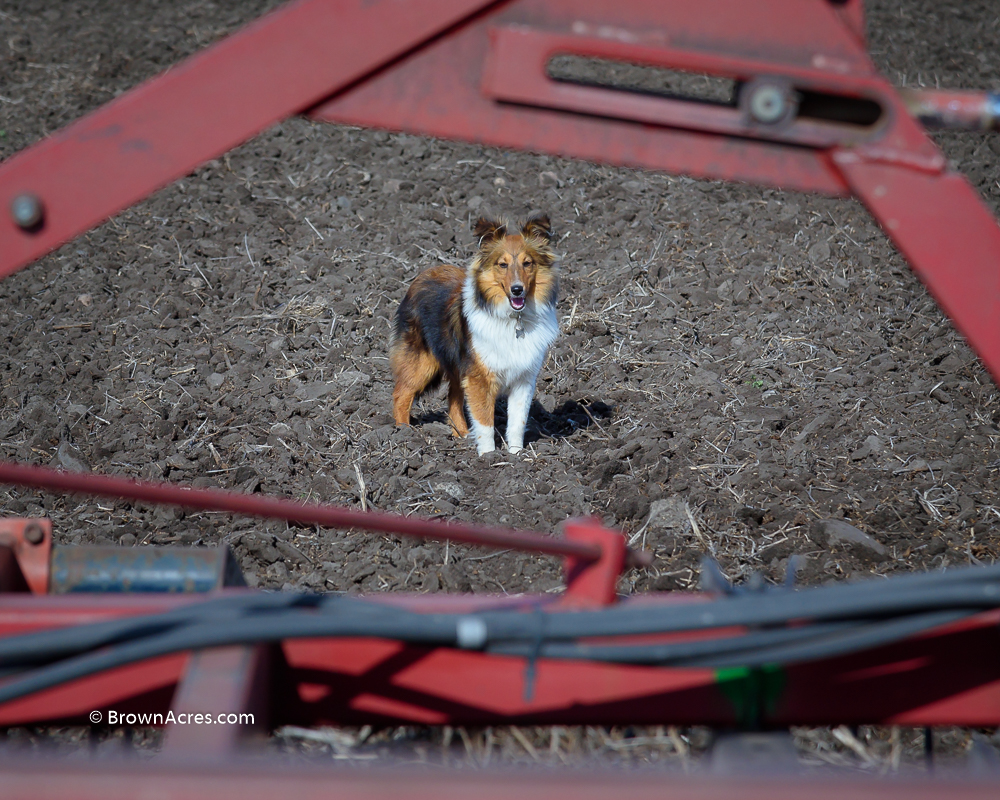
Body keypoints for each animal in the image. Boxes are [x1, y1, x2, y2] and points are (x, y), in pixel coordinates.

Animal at [390, 214, 560, 456]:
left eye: (527, 263)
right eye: (502, 264)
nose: (517, 290)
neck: (513, 319)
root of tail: (422, 275)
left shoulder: (524, 378)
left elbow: (517, 422)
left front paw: (516, 455)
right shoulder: (480, 377)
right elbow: (484, 421)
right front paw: (488, 456)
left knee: (453, 400)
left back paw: (461, 435)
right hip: (422, 361)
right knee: (402, 394)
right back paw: (403, 433)